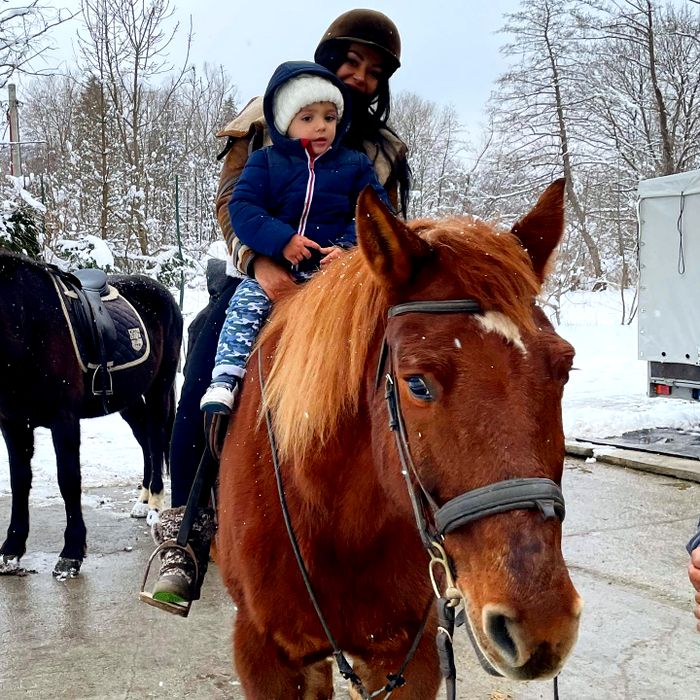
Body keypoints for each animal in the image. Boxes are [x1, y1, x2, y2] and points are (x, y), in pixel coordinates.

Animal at [0, 251, 183, 578]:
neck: (28, 323)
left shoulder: (64, 420)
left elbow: (69, 481)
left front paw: (71, 554)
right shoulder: (13, 422)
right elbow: (19, 481)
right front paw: (11, 551)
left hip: (159, 388)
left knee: (156, 437)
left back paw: (155, 505)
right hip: (128, 399)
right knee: (146, 441)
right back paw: (142, 500)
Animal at [215, 180, 582, 697]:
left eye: (564, 368)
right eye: (416, 384)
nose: (541, 622)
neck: (336, 519)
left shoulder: (409, 653)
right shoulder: (265, 656)